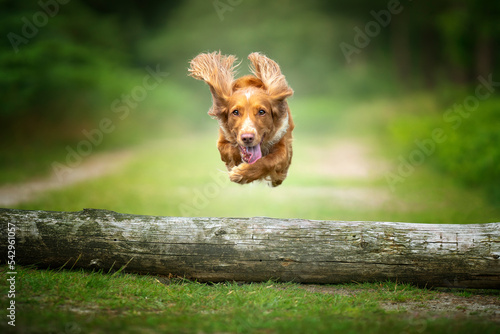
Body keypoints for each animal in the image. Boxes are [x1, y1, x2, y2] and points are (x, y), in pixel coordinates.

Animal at [189, 51, 294, 187]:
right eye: (235, 112)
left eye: (261, 112)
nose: (247, 138)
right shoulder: (222, 142)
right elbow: (231, 150)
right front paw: (241, 161)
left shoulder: (284, 149)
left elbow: (268, 161)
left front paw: (241, 174)